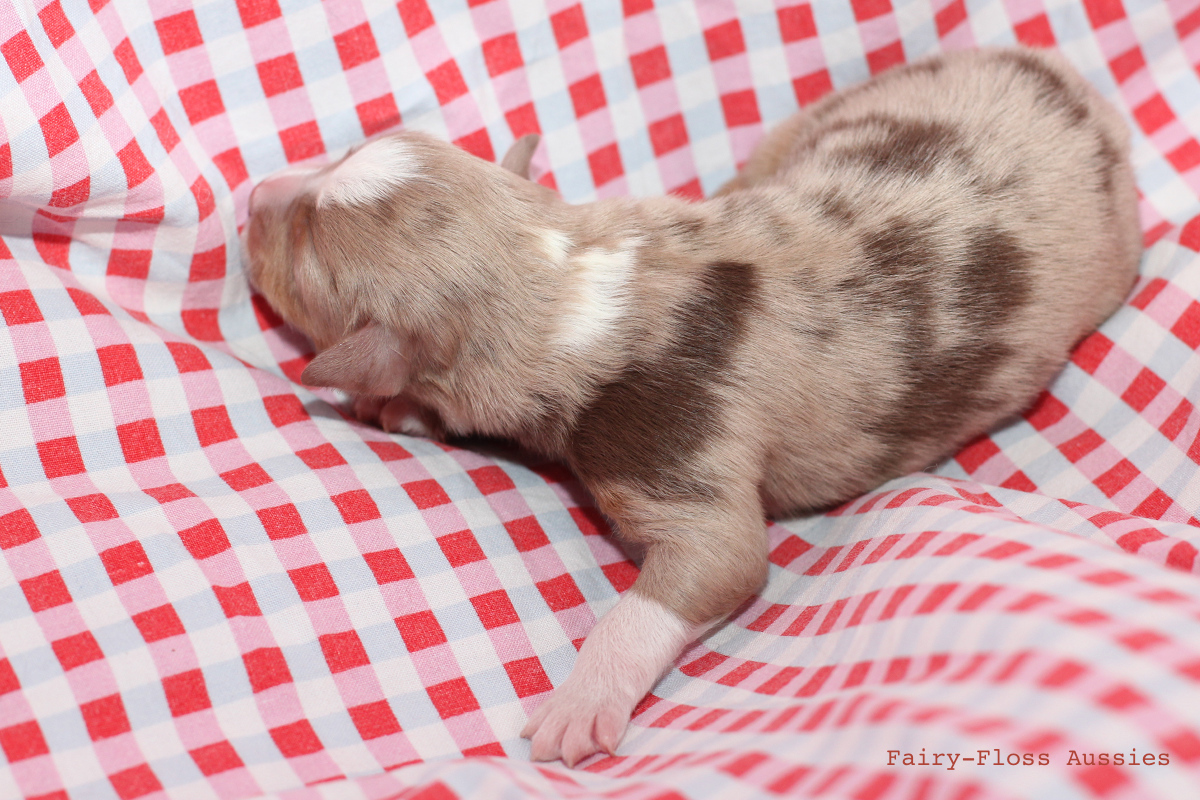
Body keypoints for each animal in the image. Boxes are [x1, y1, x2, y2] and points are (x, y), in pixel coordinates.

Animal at [238, 45, 1137, 767]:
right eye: (337, 156)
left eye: (302, 254)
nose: (252, 193)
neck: (563, 281)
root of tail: (1070, 82)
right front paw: (407, 412)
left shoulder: (676, 438)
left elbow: (717, 562)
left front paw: (577, 706)